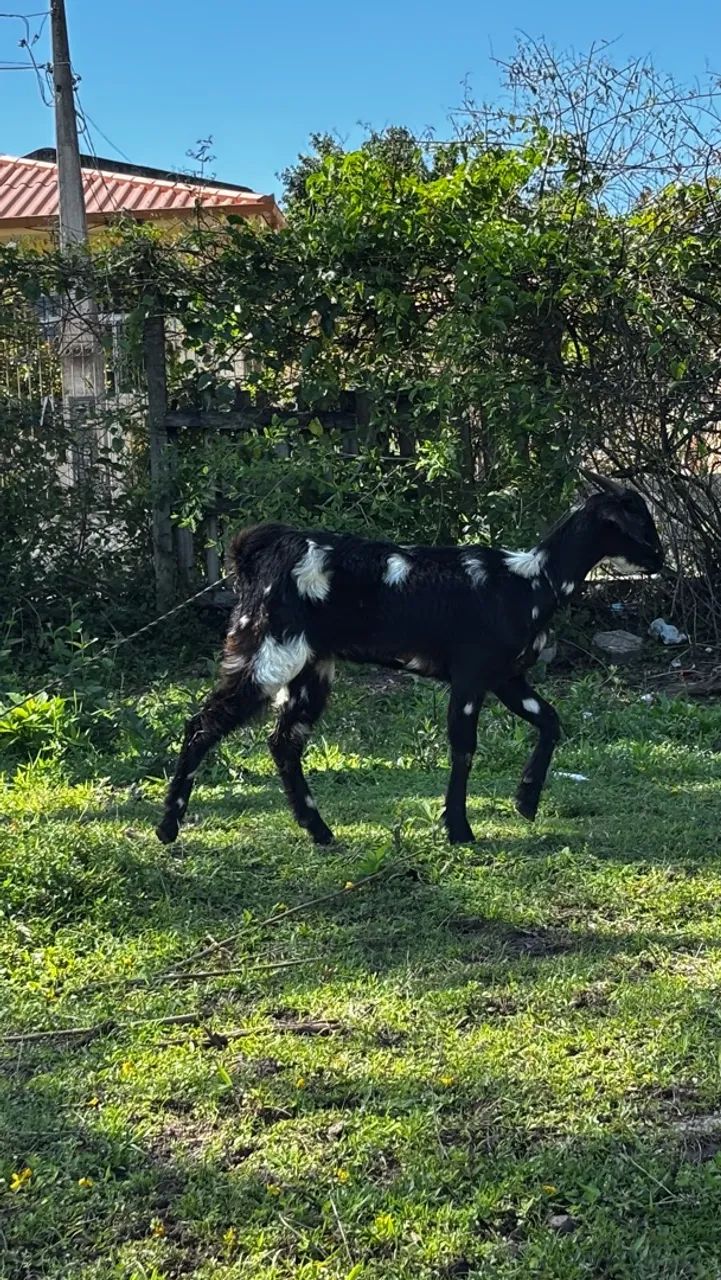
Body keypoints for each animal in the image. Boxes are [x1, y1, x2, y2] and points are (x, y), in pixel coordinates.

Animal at [156, 473, 664, 848]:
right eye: (639, 521)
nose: (660, 559)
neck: (529, 581)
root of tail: (253, 557)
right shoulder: (471, 674)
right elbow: (464, 747)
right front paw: (459, 830)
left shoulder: (506, 676)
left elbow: (551, 722)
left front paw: (525, 800)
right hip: (268, 652)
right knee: (203, 724)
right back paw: (168, 827)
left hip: (310, 667)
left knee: (284, 742)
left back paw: (320, 831)